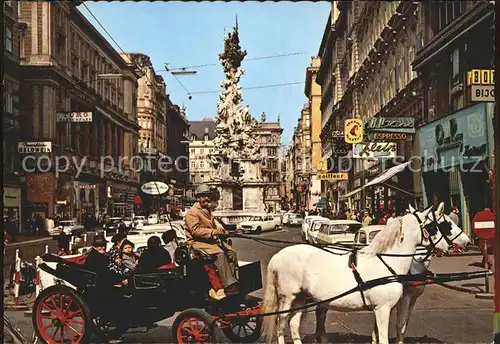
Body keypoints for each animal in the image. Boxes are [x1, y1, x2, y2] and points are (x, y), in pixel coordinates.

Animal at [262, 206, 450, 342]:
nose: (448, 247)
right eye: (433, 227)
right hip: (288, 297)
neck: (386, 262)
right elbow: (383, 338)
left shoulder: (380, 309)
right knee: (280, 323)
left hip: (300, 297)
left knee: (293, 324)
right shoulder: (383, 309)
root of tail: (277, 256)